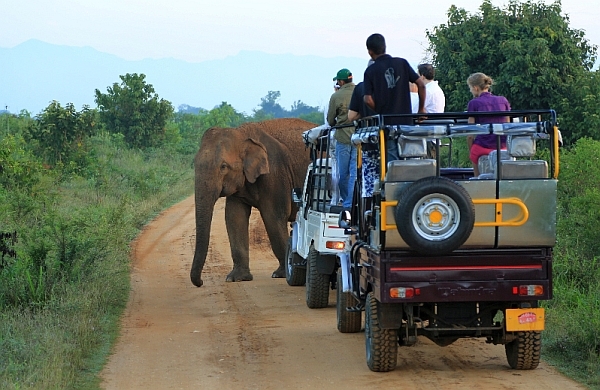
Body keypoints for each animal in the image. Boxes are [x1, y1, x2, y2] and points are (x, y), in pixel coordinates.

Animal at [191, 118, 314, 286]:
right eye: (194, 164)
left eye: (223, 166)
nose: (201, 282)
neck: (242, 134)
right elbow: (234, 218)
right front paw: (237, 278)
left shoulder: (275, 174)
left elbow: (273, 217)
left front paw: (280, 274)